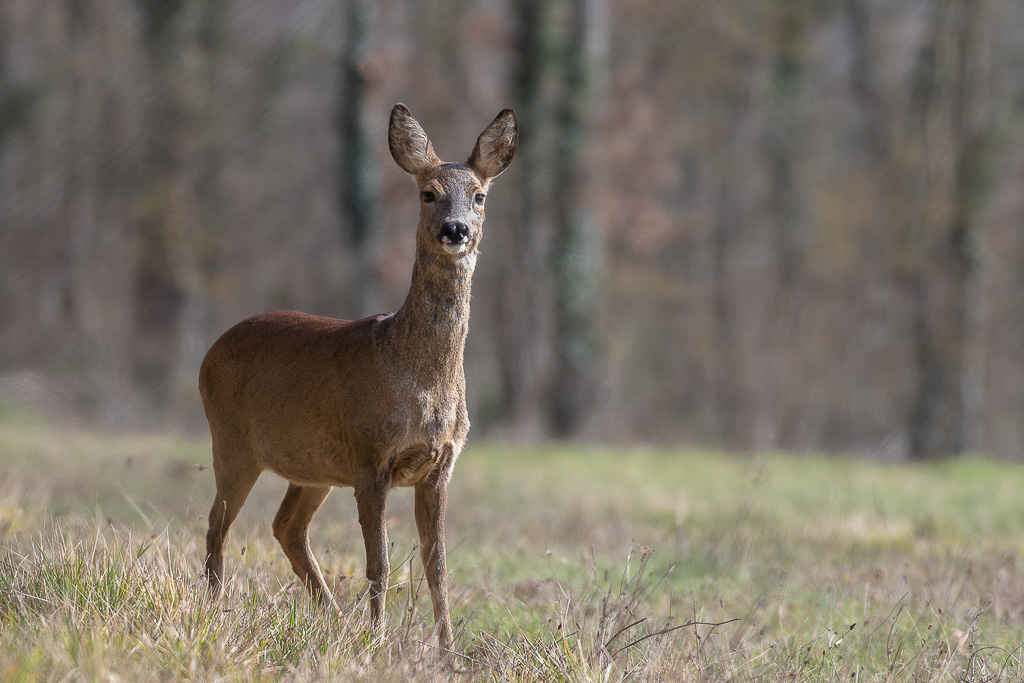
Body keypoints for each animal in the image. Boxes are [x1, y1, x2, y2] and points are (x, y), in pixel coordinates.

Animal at [197, 102, 520, 651]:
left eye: (479, 195)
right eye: (428, 193)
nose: (455, 229)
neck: (419, 379)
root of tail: (208, 353)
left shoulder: (440, 464)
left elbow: (438, 565)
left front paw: (448, 653)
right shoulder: (372, 455)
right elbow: (380, 564)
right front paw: (378, 641)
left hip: (314, 466)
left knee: (286, 526)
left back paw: (334, 620)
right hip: (233, 442)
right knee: (218, 523)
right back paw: (218, 612)